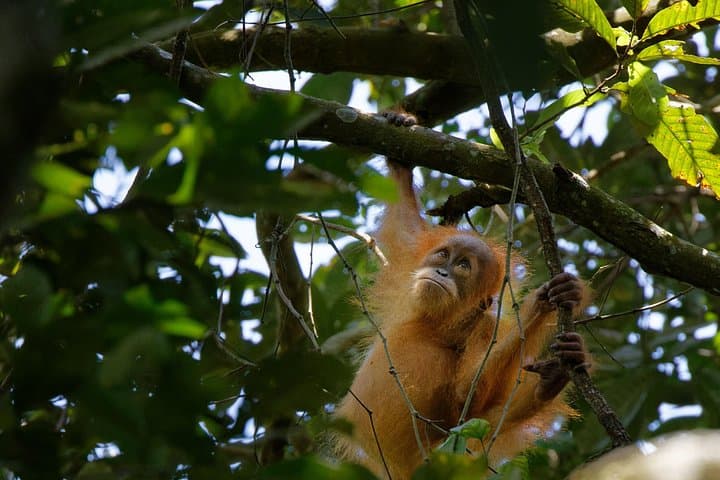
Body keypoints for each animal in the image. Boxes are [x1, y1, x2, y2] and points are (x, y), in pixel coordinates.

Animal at [334, 161, 588, 479]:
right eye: (443, 255)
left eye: (463, 266)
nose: (442, 272)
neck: (436, 325)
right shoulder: (410, 267)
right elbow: (404, 222)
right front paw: (401, 165)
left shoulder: (486, 327)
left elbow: (467, 396)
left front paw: (537, 304)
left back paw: (549, 383)